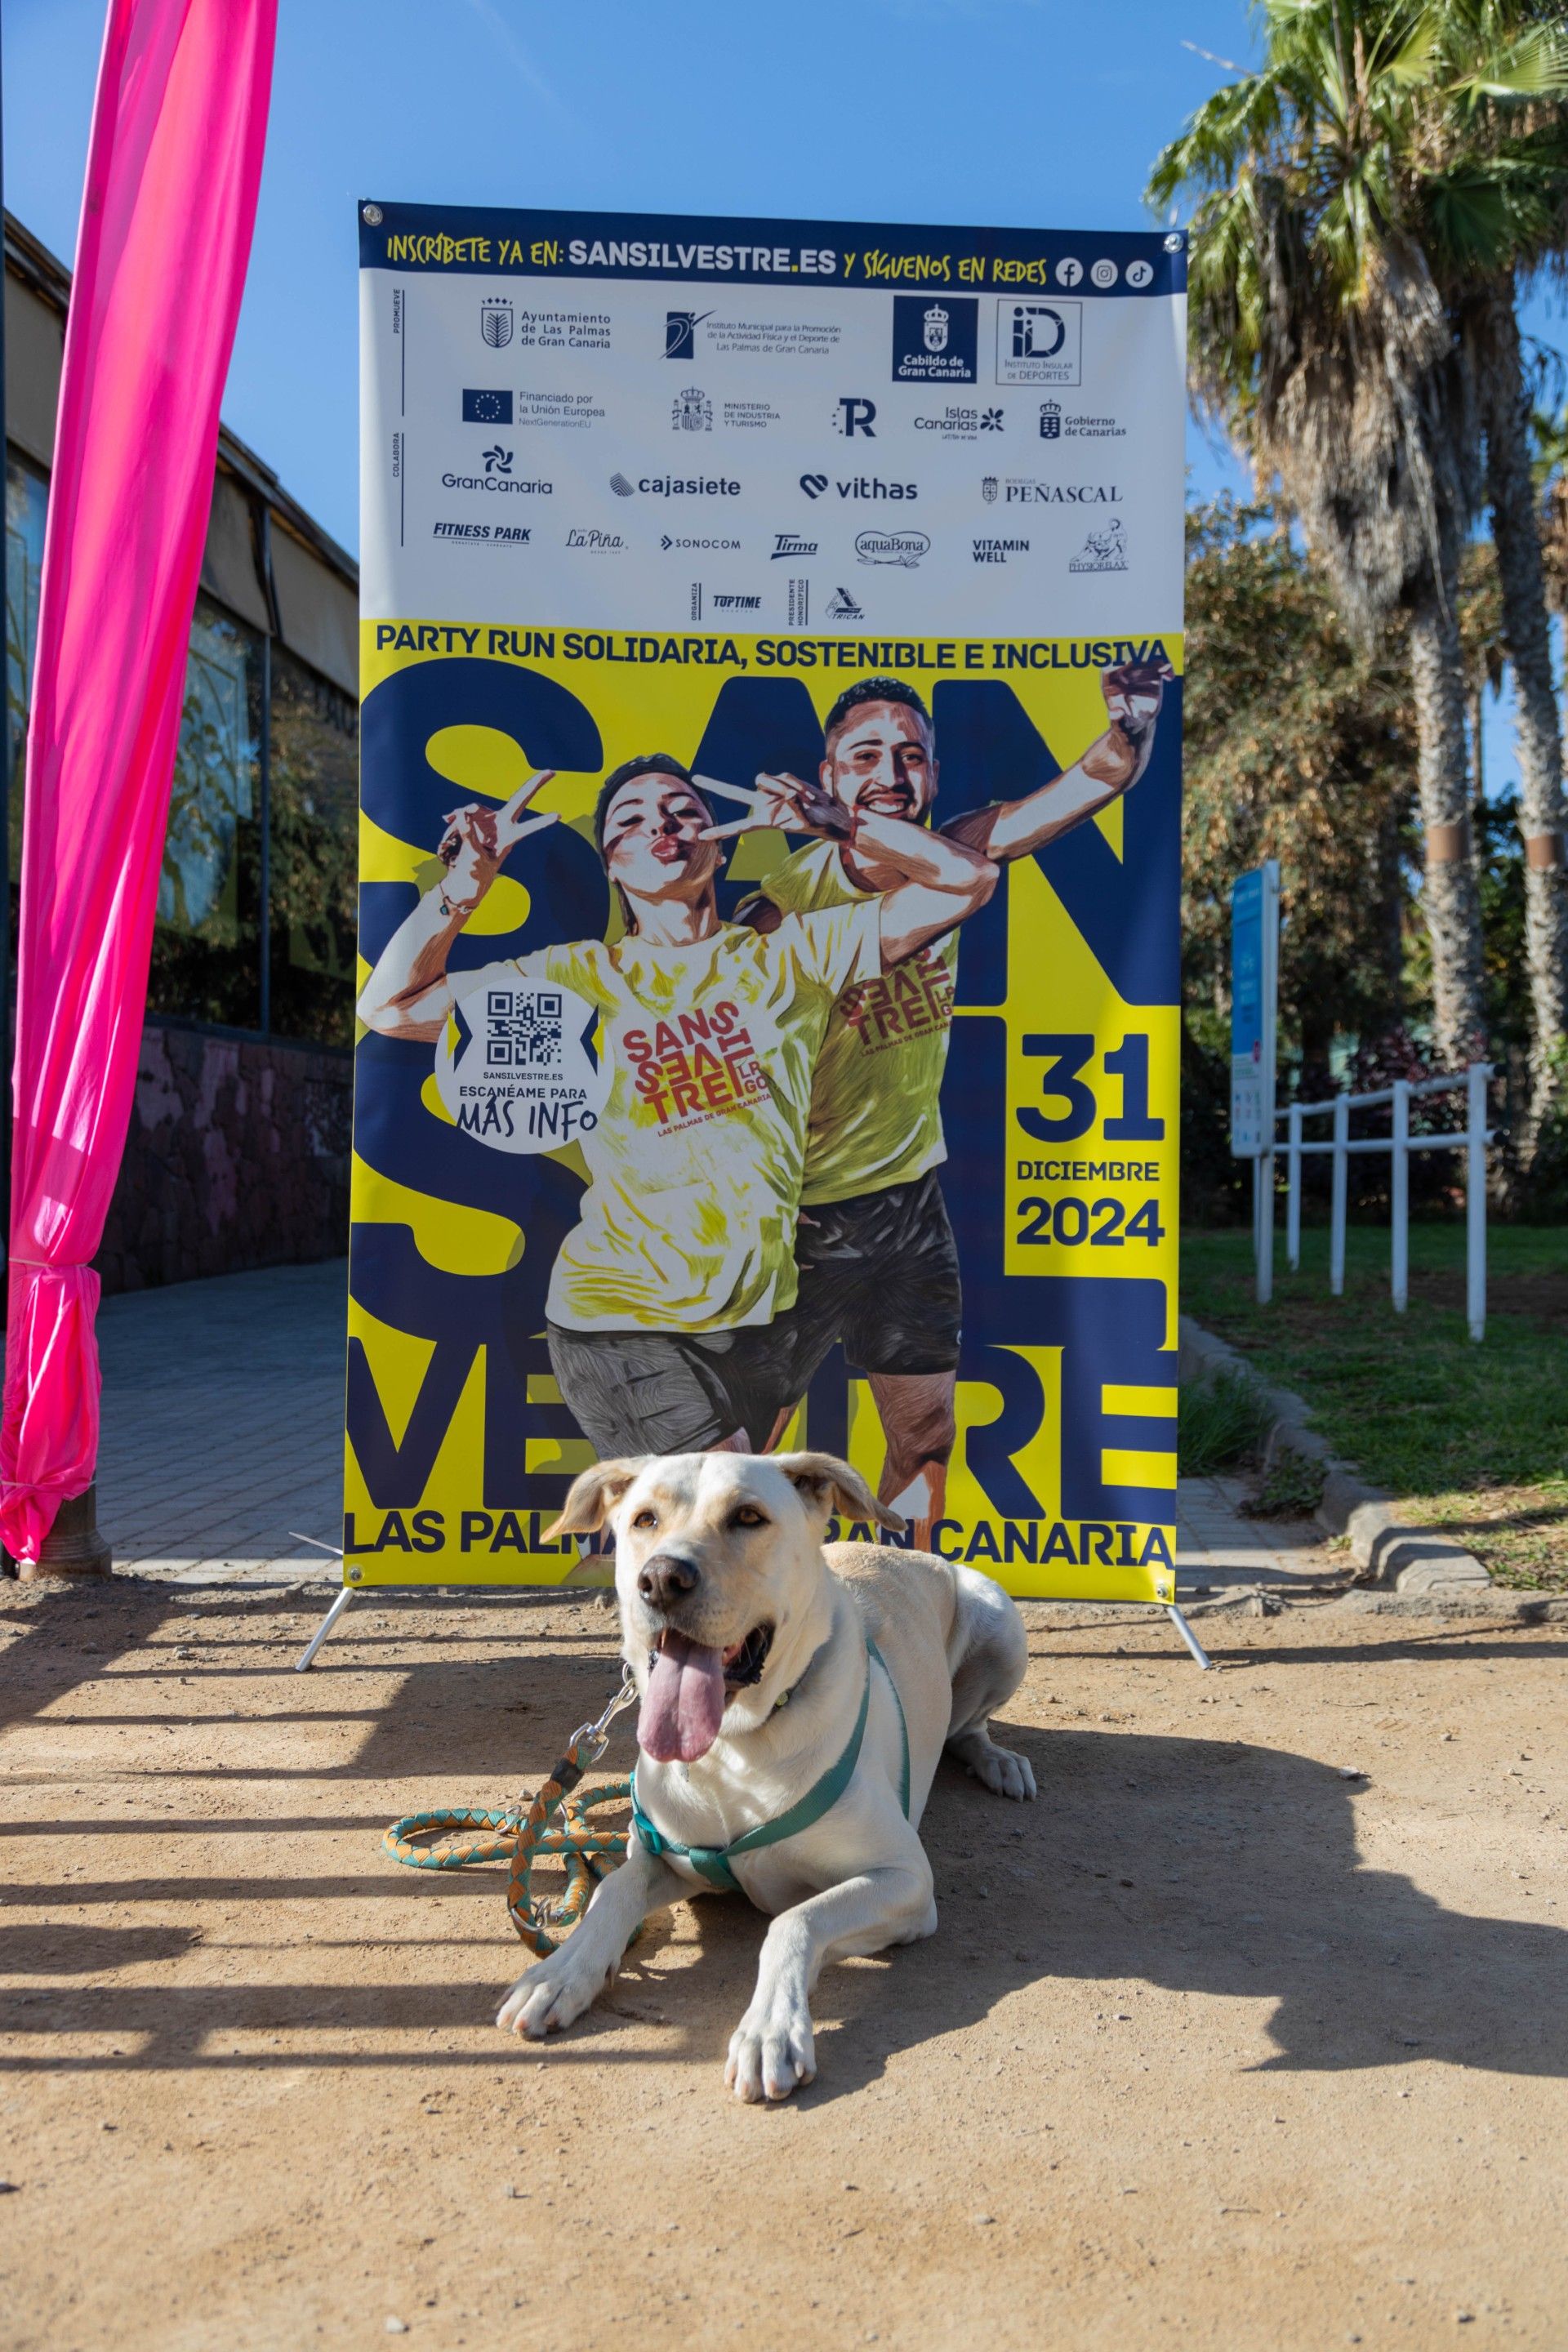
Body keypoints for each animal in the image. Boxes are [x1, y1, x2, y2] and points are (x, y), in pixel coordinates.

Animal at [503, 1449, 1034, 2097]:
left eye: (749, 1517)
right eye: (645, 1519)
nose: (660, 1579)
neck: (732, 1750)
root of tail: (912, 1551)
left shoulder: (905, 1878)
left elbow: (794, 1920)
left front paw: (770, 2031)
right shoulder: (661, 1853)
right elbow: (611, 1890)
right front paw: (559, 1974)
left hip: (1001, 1622)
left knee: (970, 1725)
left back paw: (1000, 1762)